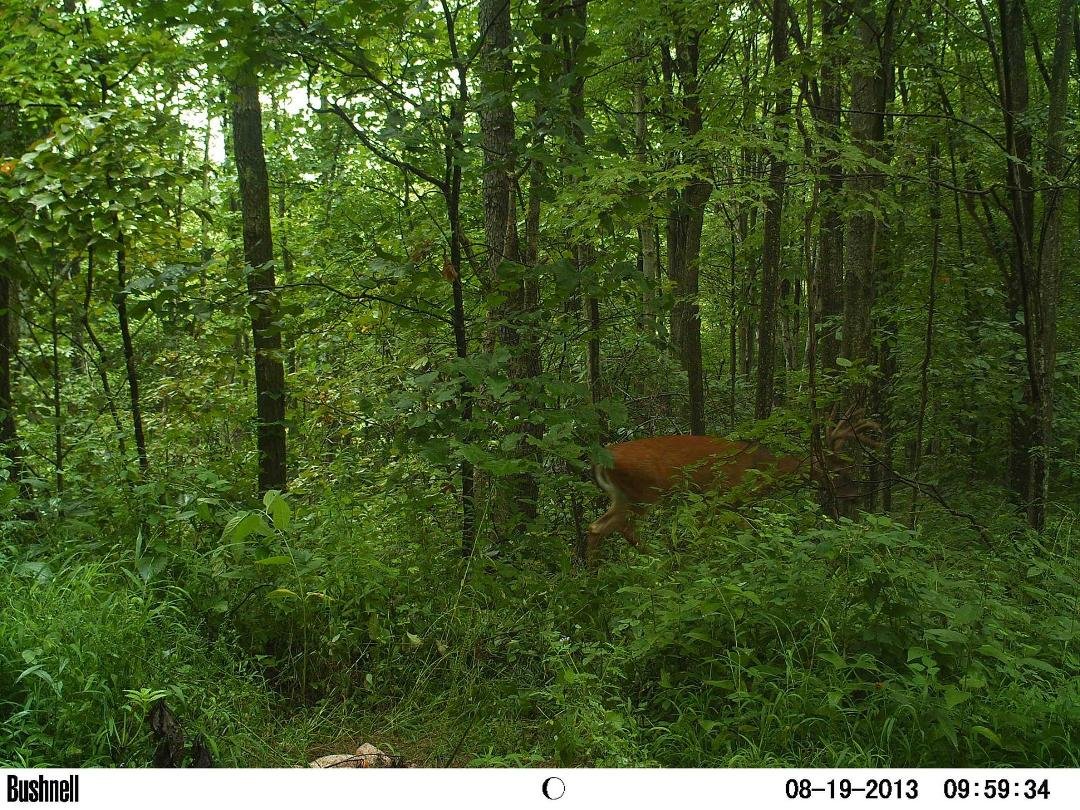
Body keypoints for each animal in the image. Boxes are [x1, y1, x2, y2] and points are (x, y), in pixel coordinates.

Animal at [585, 411, 880, 567]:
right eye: (839, 472)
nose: (856, 496)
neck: (761, 466)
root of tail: (602, 456)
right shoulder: (725, 496)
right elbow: (743, 532)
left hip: (623, 496)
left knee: (597, 526)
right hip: (644, 492)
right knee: (618, 527)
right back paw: (662, 561)